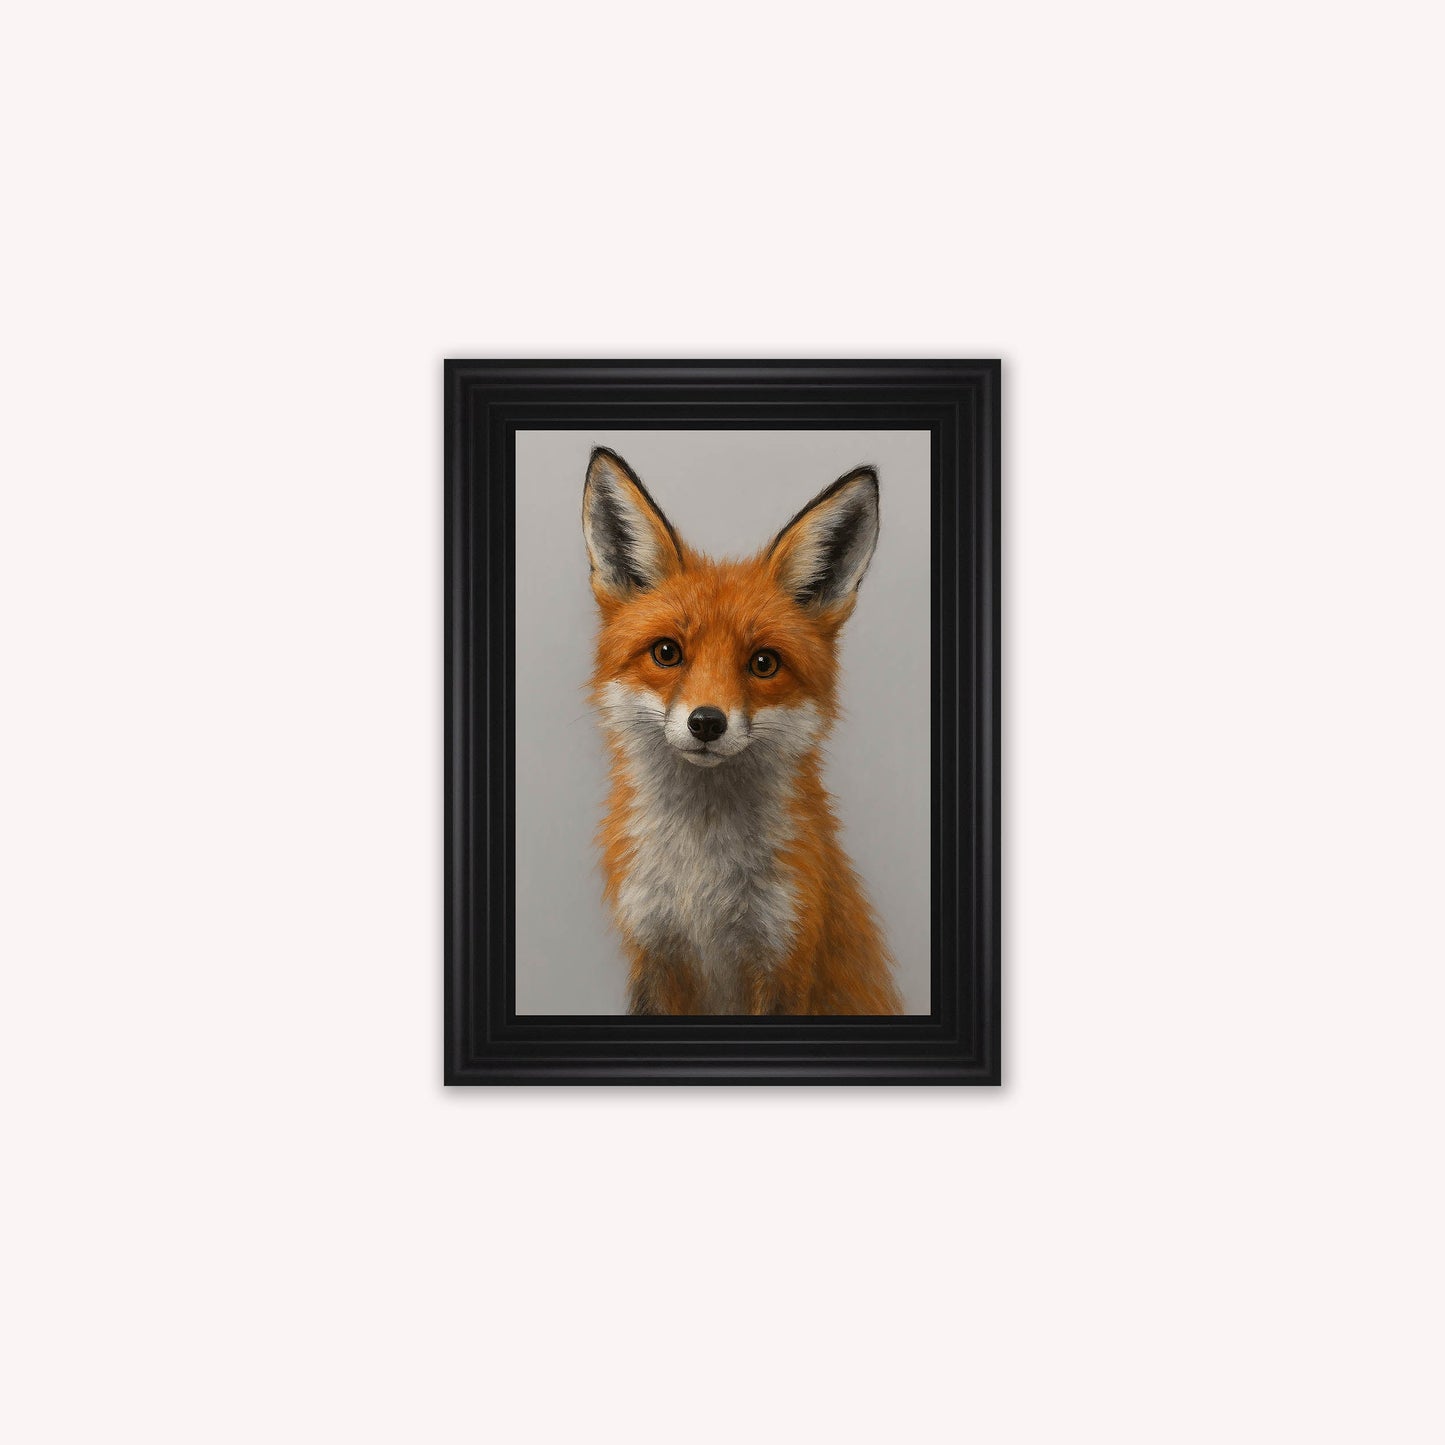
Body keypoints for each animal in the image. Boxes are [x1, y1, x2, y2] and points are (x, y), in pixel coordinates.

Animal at [582, 446, 903, 1016]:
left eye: (763, 663)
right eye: (667, 653)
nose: (707, 722)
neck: (702, 884)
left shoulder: (784, 955)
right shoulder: (653, 949)